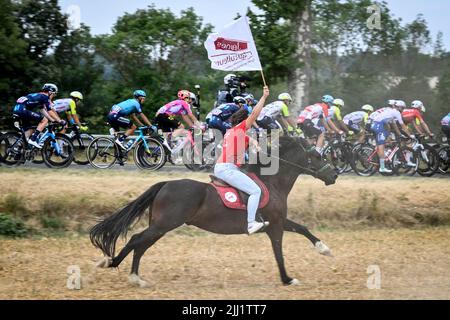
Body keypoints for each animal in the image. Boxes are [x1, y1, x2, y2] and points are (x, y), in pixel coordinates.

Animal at [90, 136, 338, 286]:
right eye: (317, 156)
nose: (334, 174)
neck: (272, 182)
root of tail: (166, 184)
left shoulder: (278, 221)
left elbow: (303, 228)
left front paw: (324, 249)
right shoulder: (275, 225)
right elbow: (279, 252)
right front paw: (287, 279)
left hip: (161, 226)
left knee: (141, 244)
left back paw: (134, 277)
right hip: (164, 224)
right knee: (136, 239)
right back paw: (114, 264)